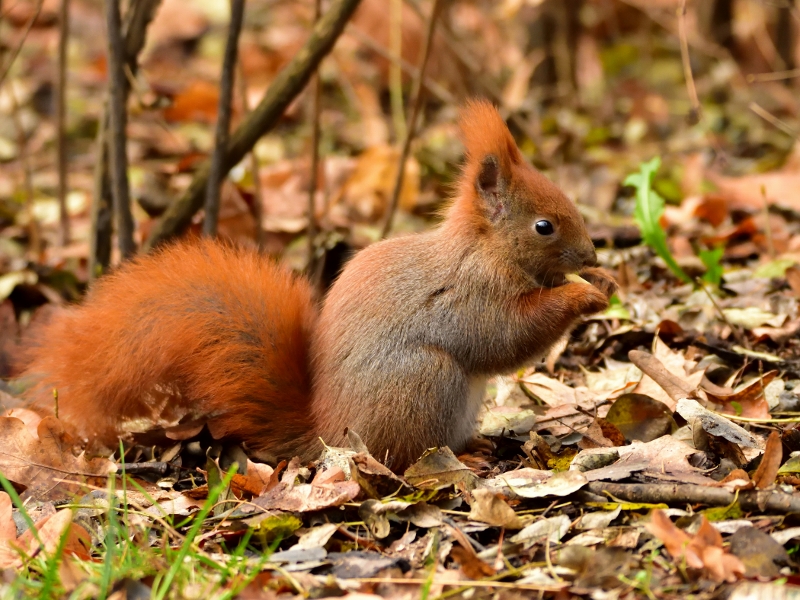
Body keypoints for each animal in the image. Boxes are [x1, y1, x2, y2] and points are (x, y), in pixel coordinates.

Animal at [20, 101, 620, 472]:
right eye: (543, 226)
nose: (592, 255)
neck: (484, 249)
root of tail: (329, 435)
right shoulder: (468, 297)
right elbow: (505, 336)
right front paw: (582, 294)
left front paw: (604, 278)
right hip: (423, 384)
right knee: (402, 457)